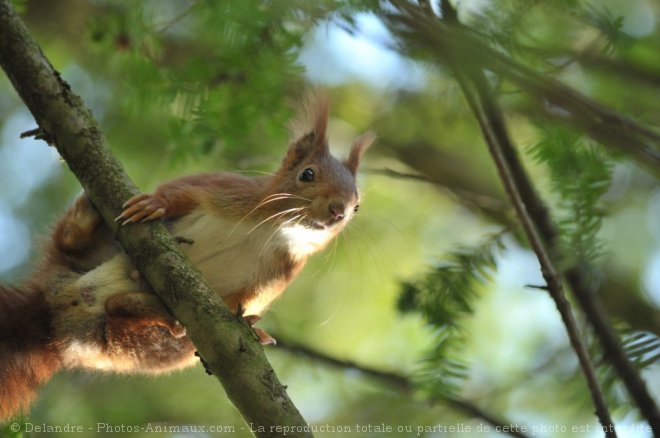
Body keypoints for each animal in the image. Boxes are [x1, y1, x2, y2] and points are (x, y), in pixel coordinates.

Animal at [0, 93, 374, 420]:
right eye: (307, 174)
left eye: (357, 205)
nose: (338, 211)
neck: (273, 230)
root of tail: (56, 313)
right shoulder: (221, 191)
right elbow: (179, 195)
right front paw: (155, 205)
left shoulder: (273, 277)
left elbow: (242, 305)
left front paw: (253, 326)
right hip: (85, 256)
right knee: (69, 244)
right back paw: (84, 218)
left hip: (140, 347)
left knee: (124, 314)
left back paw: (152, 308)